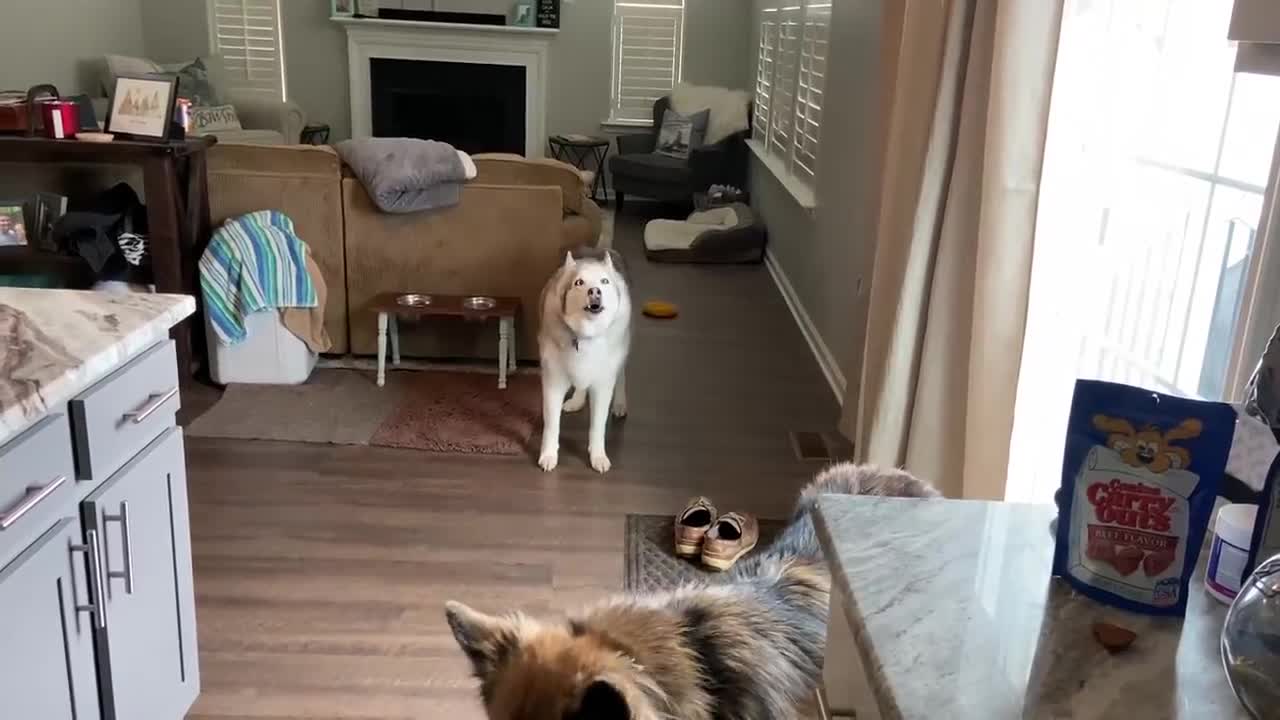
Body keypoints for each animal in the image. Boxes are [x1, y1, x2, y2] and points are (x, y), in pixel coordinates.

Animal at [535, 245, 629, 471]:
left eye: (604, 281)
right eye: (579, 282)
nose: (595, 291)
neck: (586, 334)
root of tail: (599, 248)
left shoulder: (603, 384)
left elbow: (597, 425)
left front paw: (598, 456)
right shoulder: (553, 381)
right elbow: (552, 424)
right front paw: (549, 454)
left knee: (621, 375)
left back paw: (620, 404)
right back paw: (577, 400)